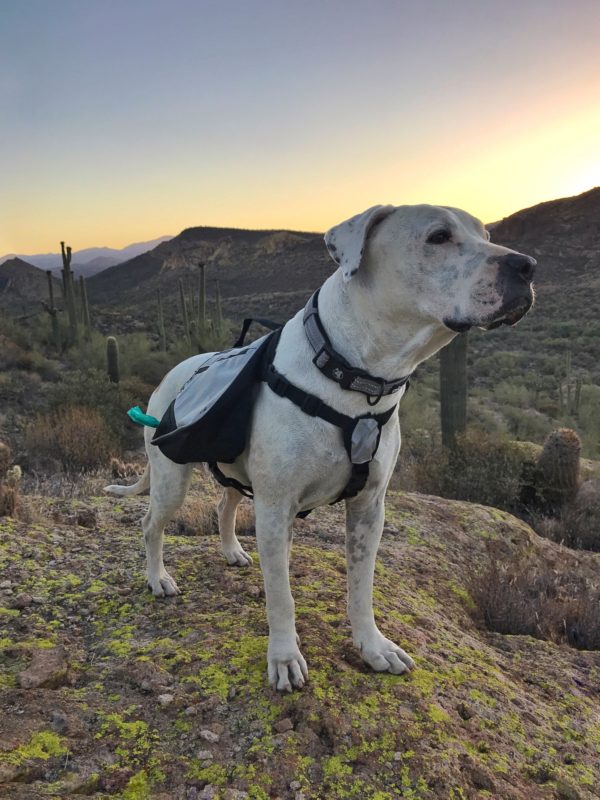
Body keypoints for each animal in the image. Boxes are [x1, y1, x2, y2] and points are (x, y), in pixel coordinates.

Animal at [105, 203, 536, 692]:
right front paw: (284, 657)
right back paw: (158, 578)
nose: (527, 266)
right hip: (171, 479)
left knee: (223, 505)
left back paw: (232, 550)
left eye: (487, 234)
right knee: (150, 525)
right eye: (438, 237)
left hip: (232, 470)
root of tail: (174, 372)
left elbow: (361, 588)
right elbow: (281, 597)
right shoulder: (277, 509)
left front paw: (372, 646)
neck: (353, 377)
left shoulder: (369, 509)